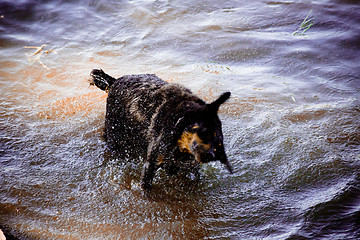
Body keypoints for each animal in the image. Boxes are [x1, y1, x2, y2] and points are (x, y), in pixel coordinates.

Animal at [88, 68, 232, 192]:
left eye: (218, 135)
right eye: (202, 132)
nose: (212, 155)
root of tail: (115, 81)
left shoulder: (191, 166)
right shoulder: (150, 165)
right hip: (115, 137)